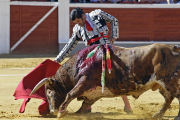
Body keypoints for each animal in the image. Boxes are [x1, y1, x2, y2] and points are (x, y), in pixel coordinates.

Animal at [30, 43, 180, 119]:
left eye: (49, 92)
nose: (52, 111)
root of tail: (174, 48)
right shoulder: (93, 95)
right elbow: (83, 106)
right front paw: (75, 114)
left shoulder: (84, 81)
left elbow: (70, 94)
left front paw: (61, 113)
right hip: (161, 84)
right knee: (168, 98)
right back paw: (157, 114)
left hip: (167, 80)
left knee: (175, 96)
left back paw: (175, 117)